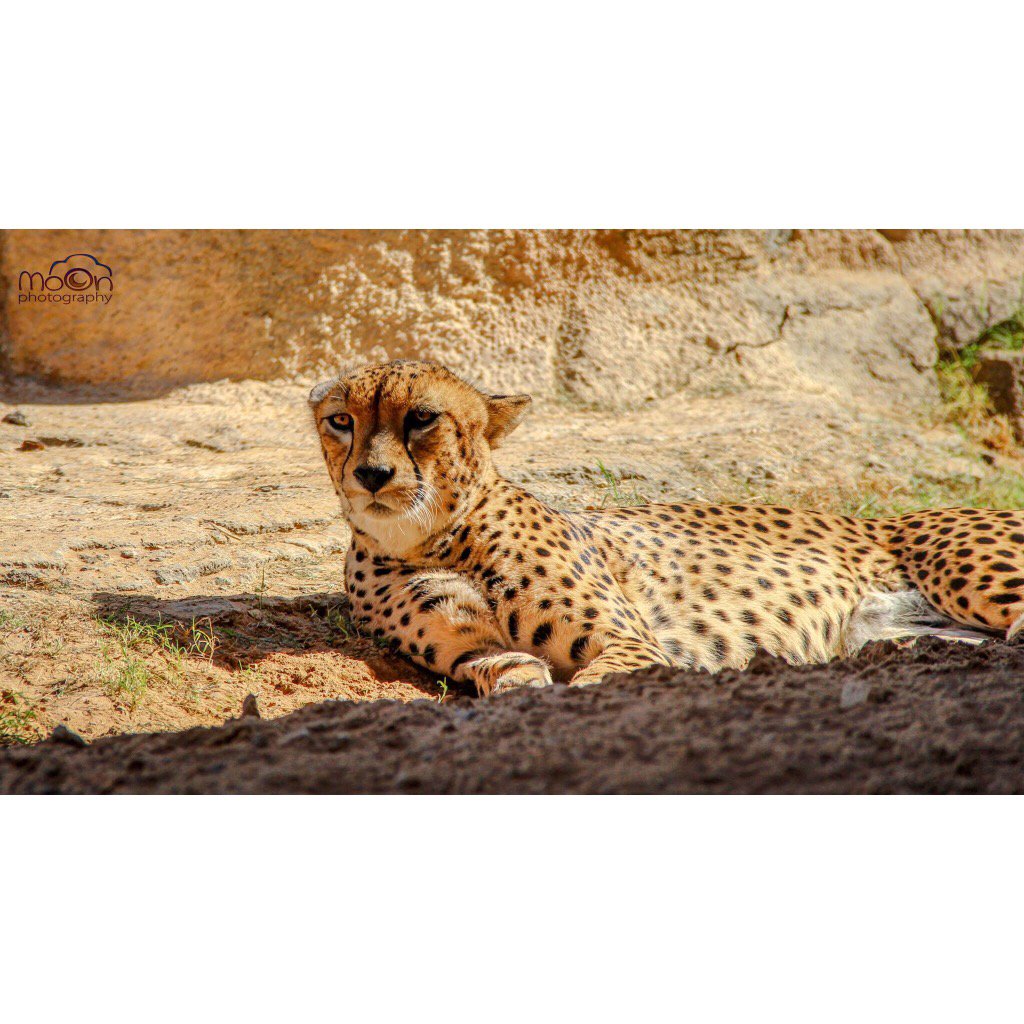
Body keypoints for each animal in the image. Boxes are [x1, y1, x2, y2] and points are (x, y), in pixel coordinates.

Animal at [309, 359, 1024, 696]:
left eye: (421, 418)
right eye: (342, 421)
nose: (371, 474)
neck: (435, 536)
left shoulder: (631, 643)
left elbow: (595, 681)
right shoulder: (476, 650)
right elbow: (506, 673)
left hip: (958, 562)